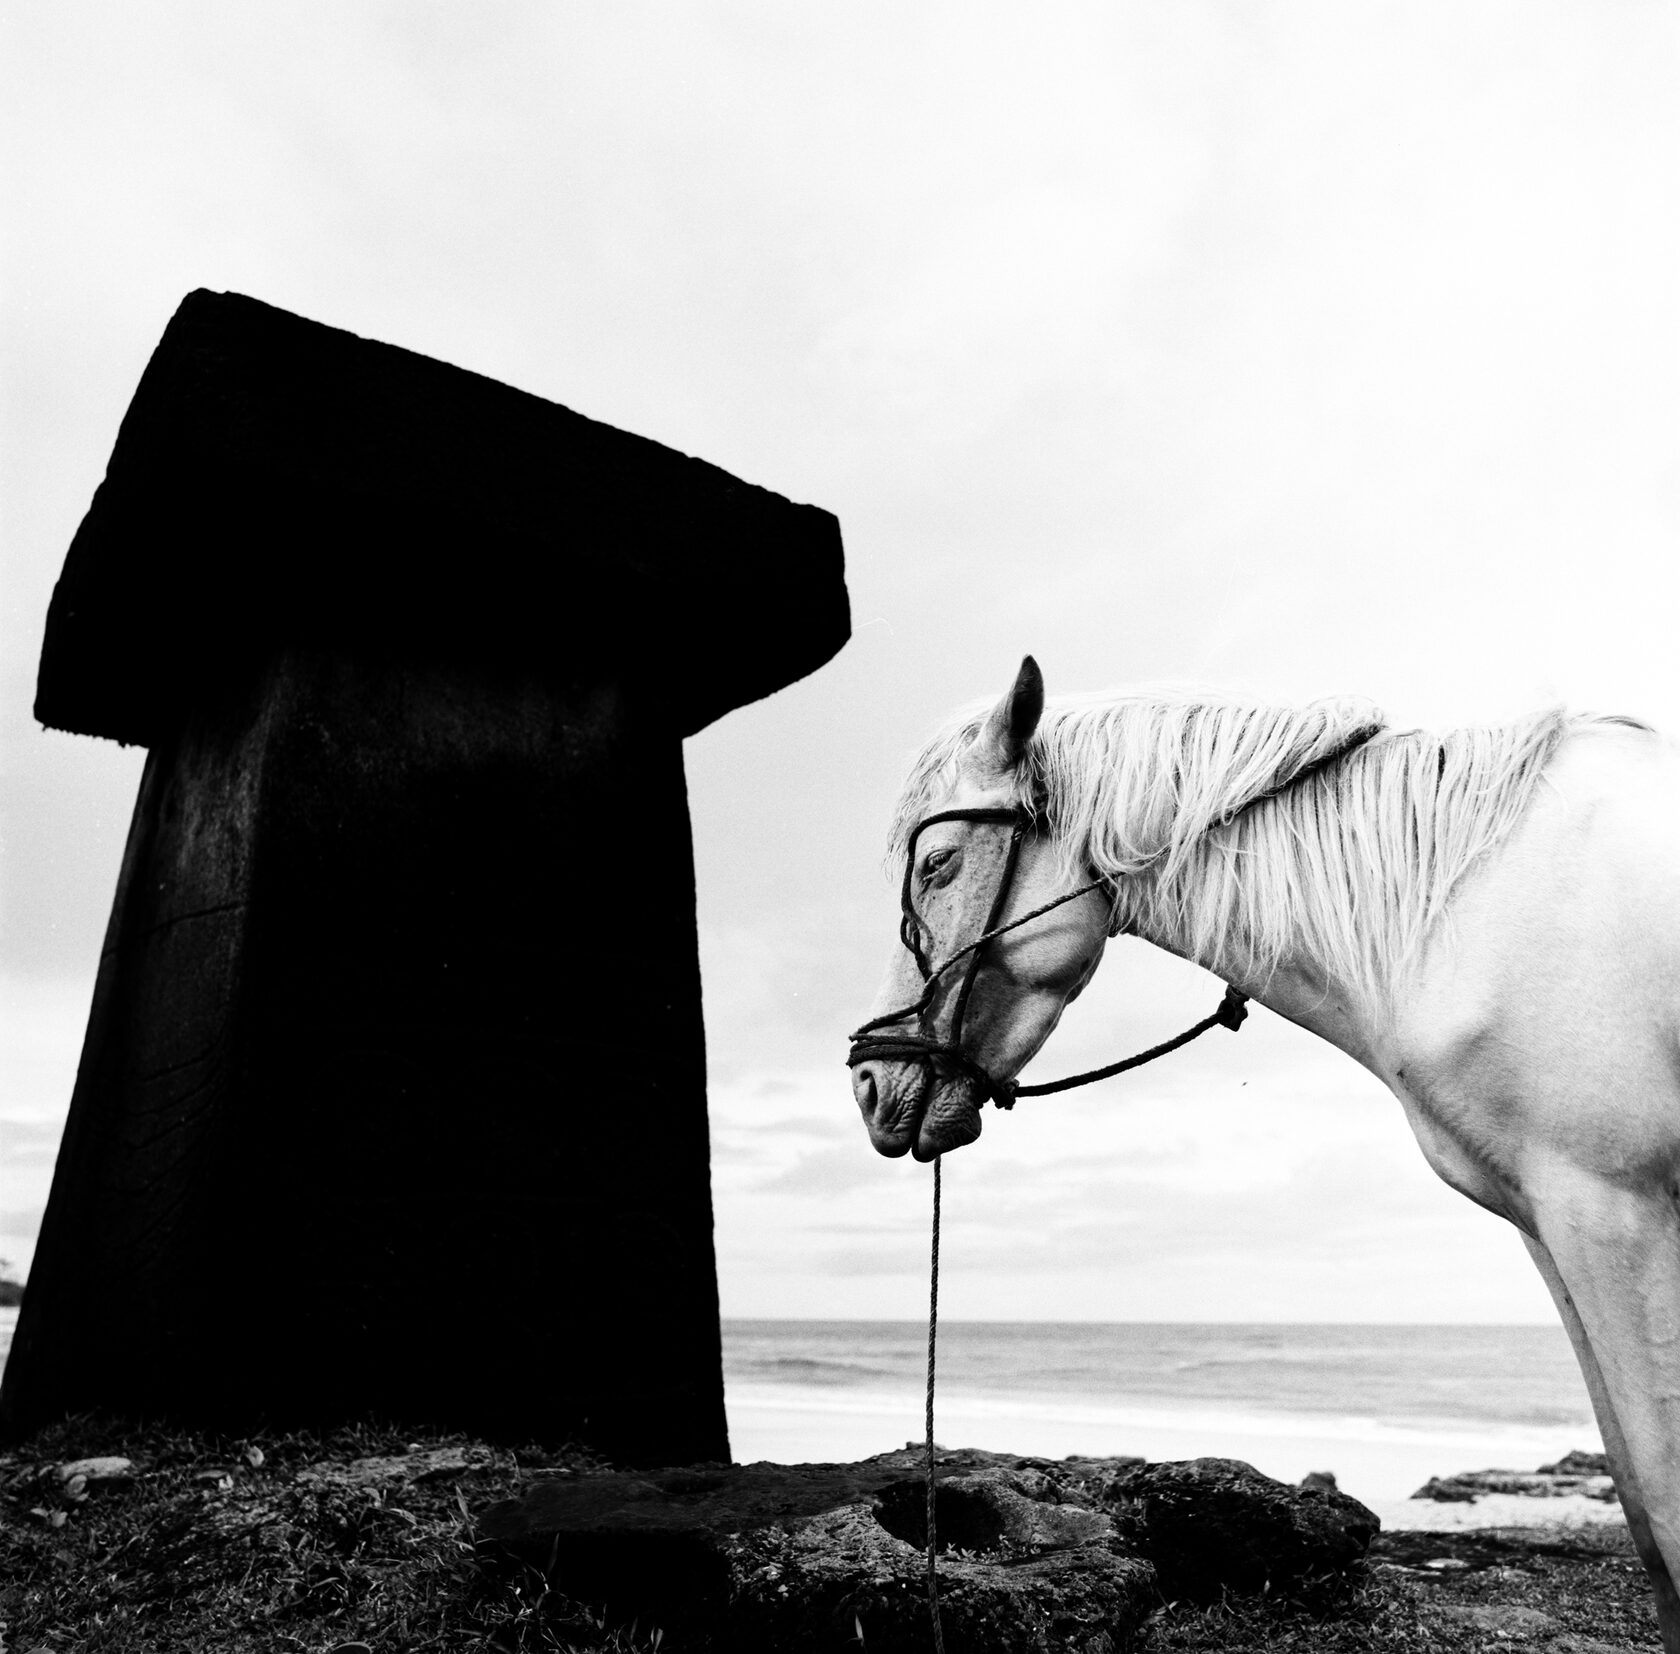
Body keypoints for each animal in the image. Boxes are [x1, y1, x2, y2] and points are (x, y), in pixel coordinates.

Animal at [849, 655, 1680, 1648]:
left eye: (938, 866)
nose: (868, 1081)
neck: (1465, 906)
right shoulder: (1551, 1229)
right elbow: (1643, 1516)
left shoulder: (1613, 1216)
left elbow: (1666, 1510)